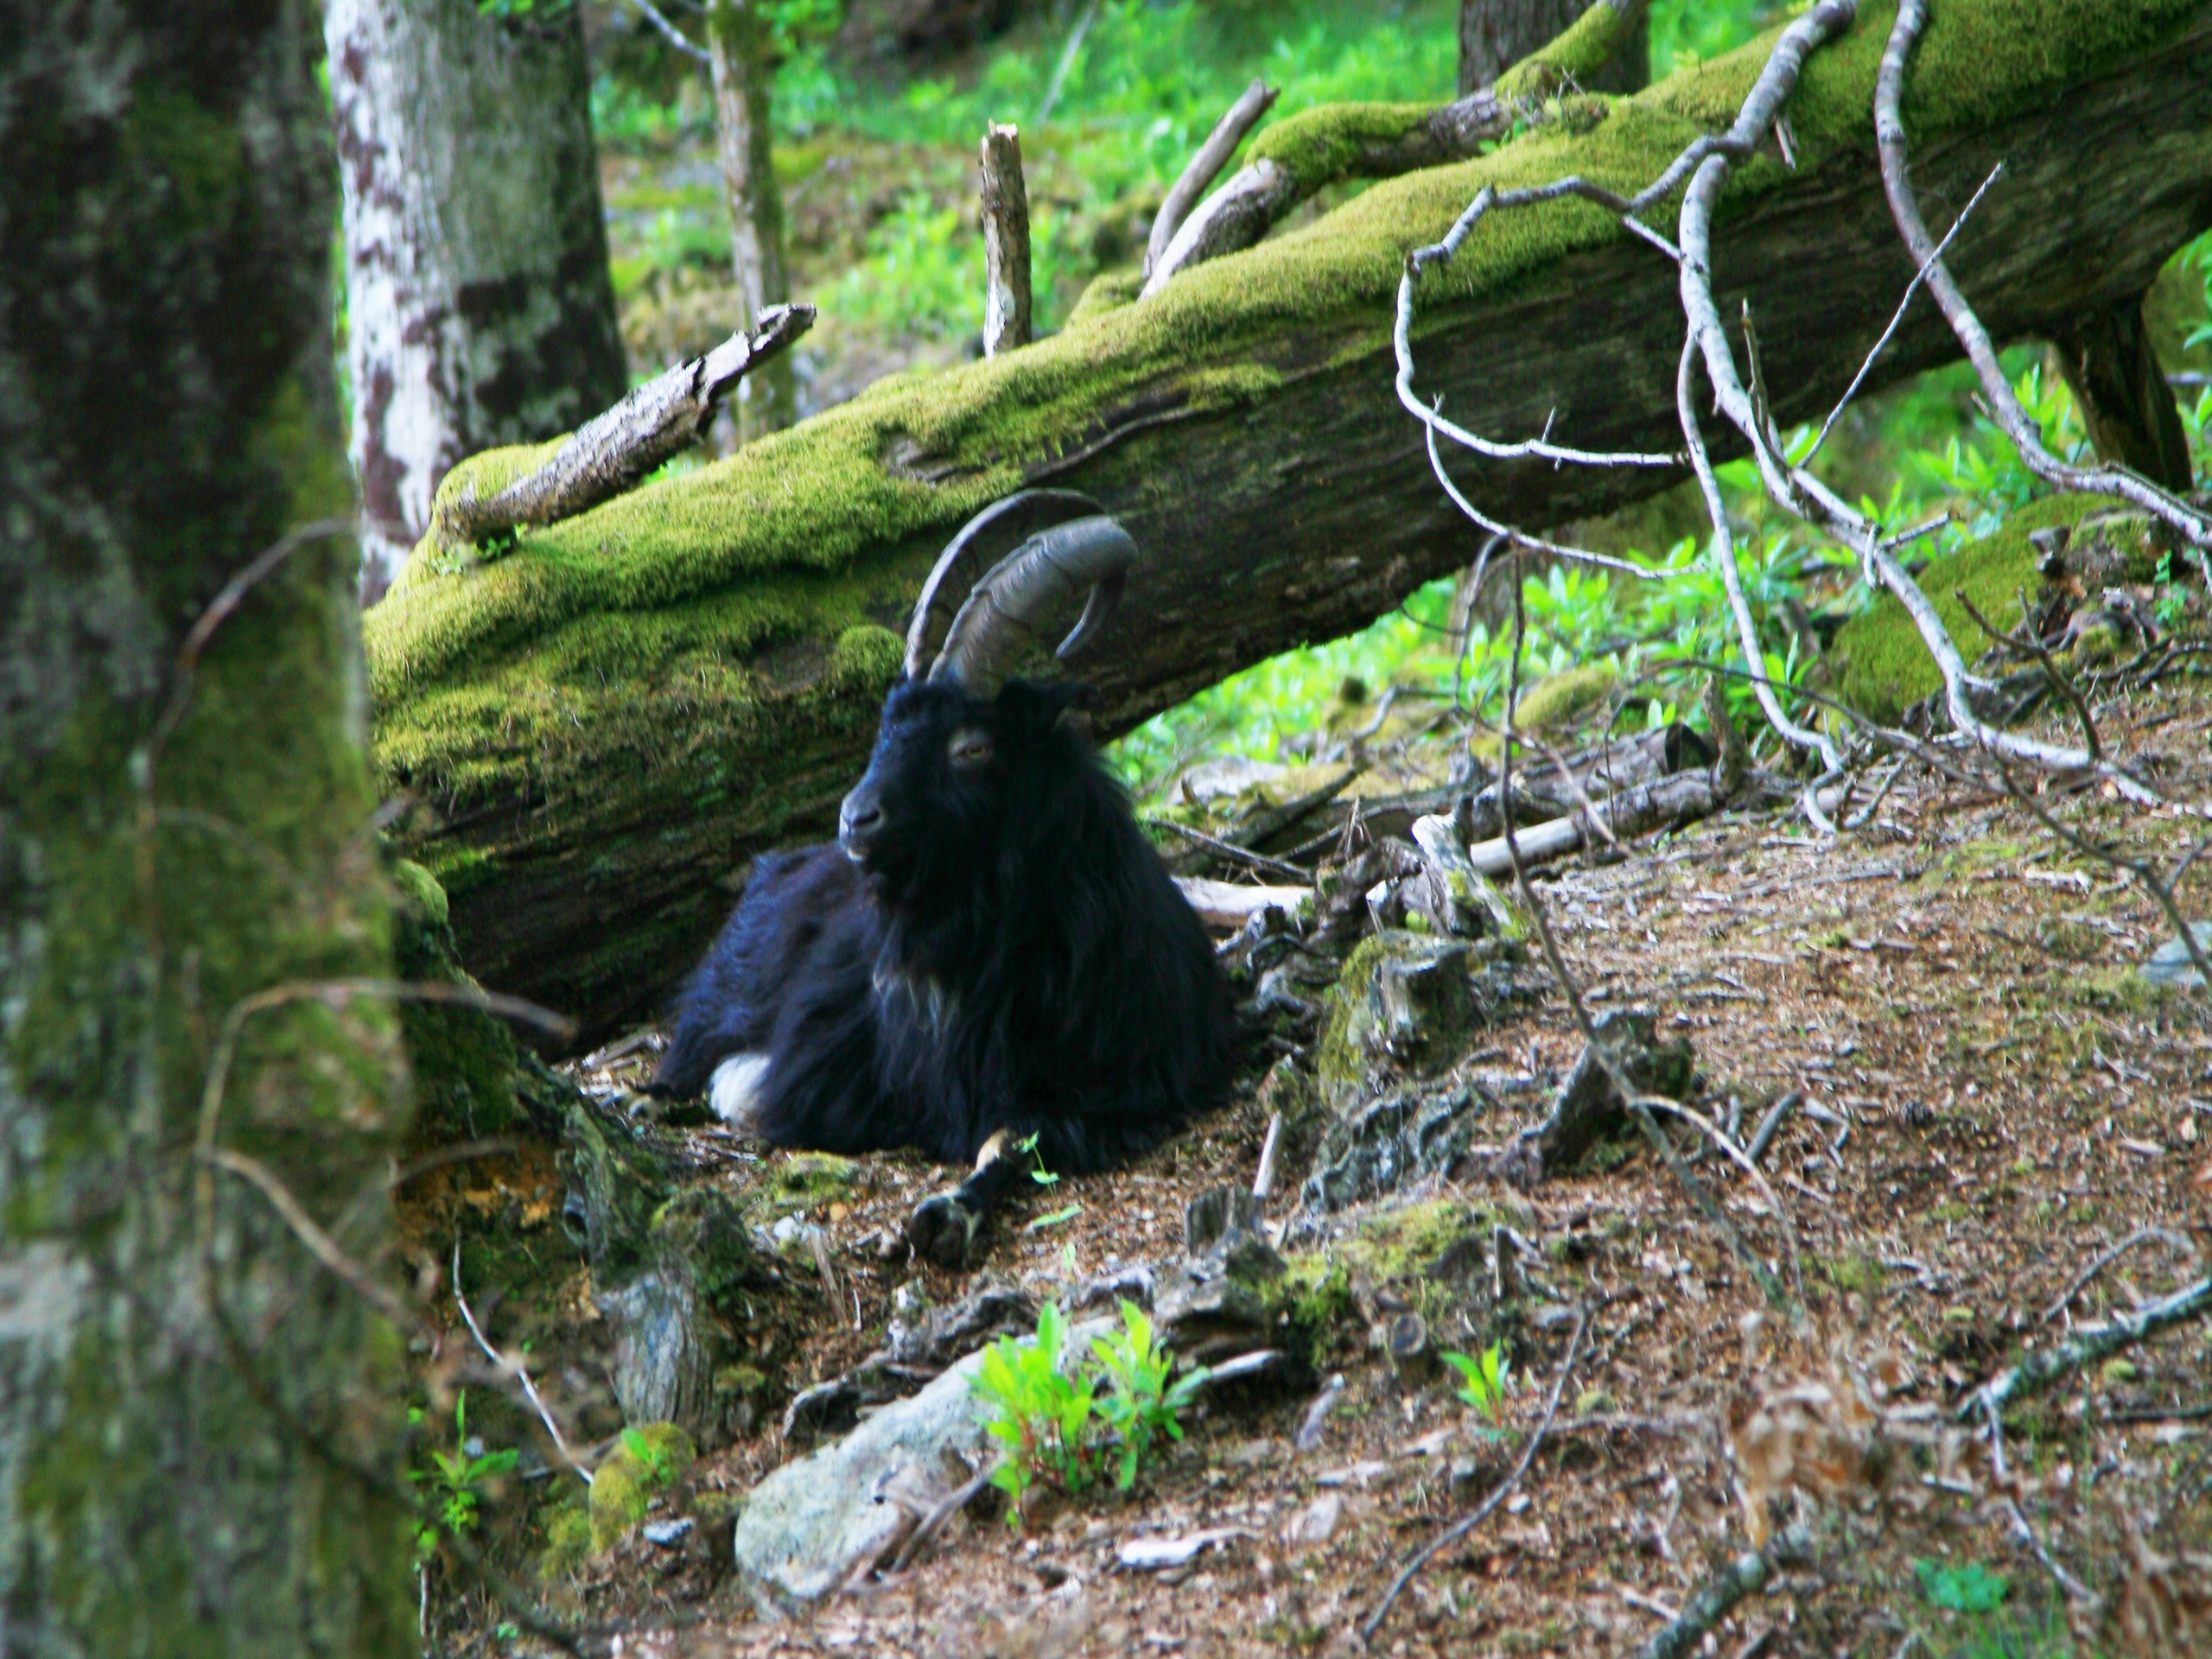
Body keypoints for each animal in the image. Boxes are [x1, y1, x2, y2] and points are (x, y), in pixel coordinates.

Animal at [650, 486, 1247, 1265]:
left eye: (972, 746)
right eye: (884, 729)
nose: (856, 820)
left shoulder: (1125, 1088)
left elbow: (1016, 1141)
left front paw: (947, 1215)